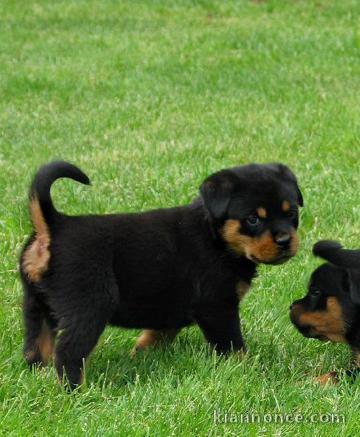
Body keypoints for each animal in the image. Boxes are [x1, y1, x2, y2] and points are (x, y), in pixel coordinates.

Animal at [19, 161, 300, 388]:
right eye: (253, 219)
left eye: (291, 213)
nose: (285, 240)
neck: (215, 237)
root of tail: (55, 224)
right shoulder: (217, 306)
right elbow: (232, 345)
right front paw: (247, 371)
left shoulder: (171, 308)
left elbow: (155, 335)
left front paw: (140, 357)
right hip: (90, 304)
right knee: (68, 352)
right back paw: (77, 391)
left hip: (36, 304)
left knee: (36, 348)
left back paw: (39, 378)